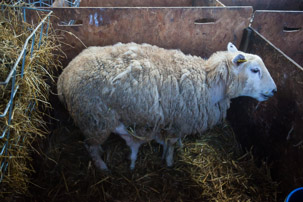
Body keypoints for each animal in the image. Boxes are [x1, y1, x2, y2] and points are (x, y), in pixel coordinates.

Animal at [57, 42, 278, 170]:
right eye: (255, 70)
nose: (275, 91)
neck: (208, 81)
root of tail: (64, 76)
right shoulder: (179, 121)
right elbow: (171, 144)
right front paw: (170, 162)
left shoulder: (175, 122)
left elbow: (172, 141)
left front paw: (172, 151)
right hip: (95, 119)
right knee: (90, 146)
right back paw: (102, 166)